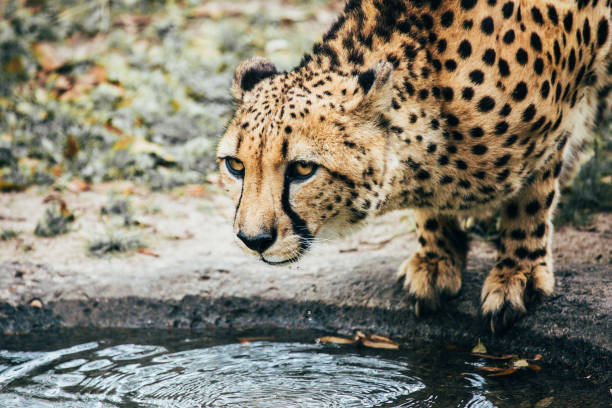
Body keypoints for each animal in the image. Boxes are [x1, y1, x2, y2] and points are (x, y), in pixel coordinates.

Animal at [218, 0, 608, 332]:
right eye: (235, 165)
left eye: (302, 169)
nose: (253, 240)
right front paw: (437, 258)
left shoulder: (556, 119)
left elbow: (532, 195)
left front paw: (518, 271)